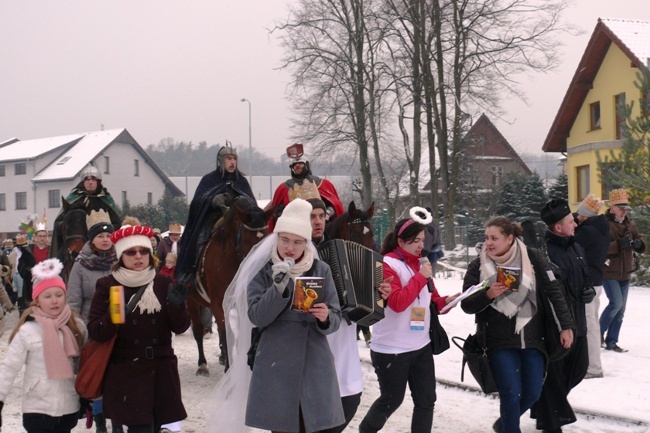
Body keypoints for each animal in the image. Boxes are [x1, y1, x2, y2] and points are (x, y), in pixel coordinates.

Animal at [186, 196, 272, 374]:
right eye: (246, 239)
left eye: (267, 237)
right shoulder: (218, 302)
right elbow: (225, 331)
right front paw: (228, 368)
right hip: (192, 301)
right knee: (198, 330)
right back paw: (202, 364)